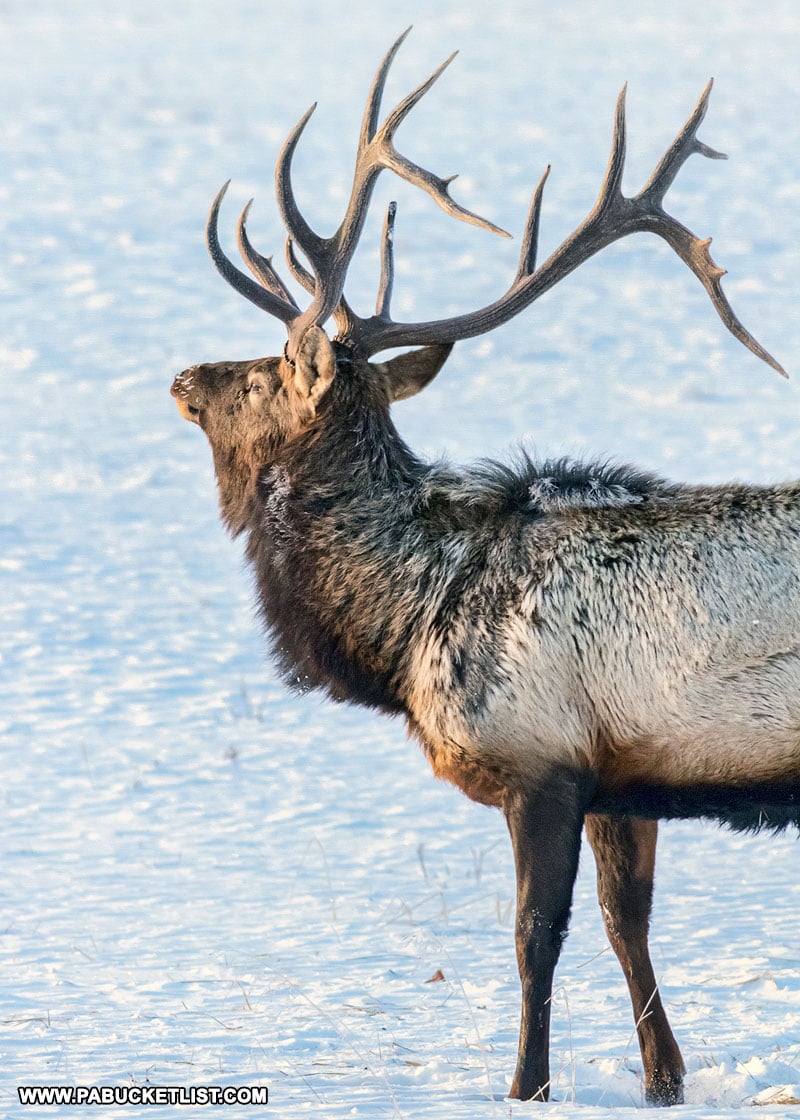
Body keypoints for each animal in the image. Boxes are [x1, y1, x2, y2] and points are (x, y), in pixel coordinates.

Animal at [171, 30, 797, 1105]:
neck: (406, 617)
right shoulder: (620, 778)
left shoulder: (538, 759)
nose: (181, 376)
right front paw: (662, 1083)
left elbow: (533, 939)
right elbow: (627, 928)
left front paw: (526, 1086)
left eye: (262, 371)